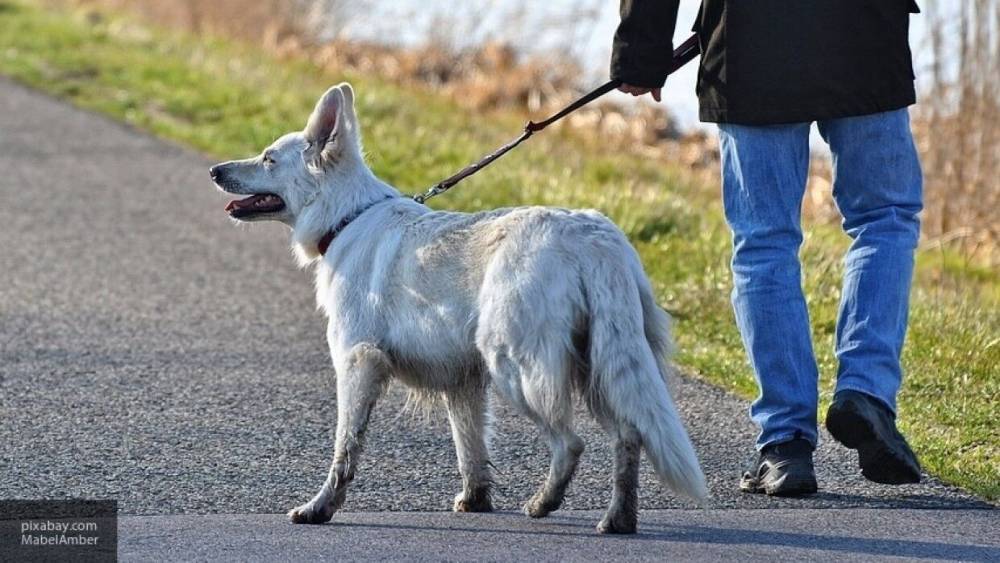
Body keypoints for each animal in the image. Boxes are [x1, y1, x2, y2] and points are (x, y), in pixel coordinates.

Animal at [212, 82, 708, 532]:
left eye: (268, 158)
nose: (215, 170)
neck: (347, 217)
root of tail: (593, 238)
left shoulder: (358, 364)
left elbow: (345, 449)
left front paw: (320, 508)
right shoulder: (462, 382)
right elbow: (471, 449)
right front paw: (476, 500)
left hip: (517, 368)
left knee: (571, 443)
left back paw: (544, 502)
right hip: (600, 367)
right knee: (629, 436)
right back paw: (618, 518)